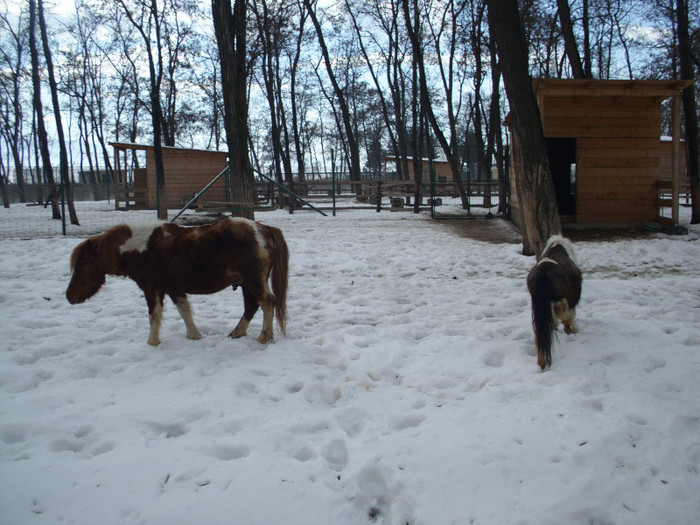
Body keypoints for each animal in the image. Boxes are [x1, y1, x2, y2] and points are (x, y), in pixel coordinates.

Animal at [63, 218, 288, 346]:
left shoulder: (152, 289)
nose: (69, 296)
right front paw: (194, 336)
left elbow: (154, 315)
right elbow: (184, 311)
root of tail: (264, 229)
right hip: (246, 283)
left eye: (81, 266)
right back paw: (237, 333)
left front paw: (152, 342)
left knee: (267, 302)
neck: (141, 248)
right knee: (251, 306)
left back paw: (264, 337)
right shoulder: (174, 289)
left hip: (253, 280)